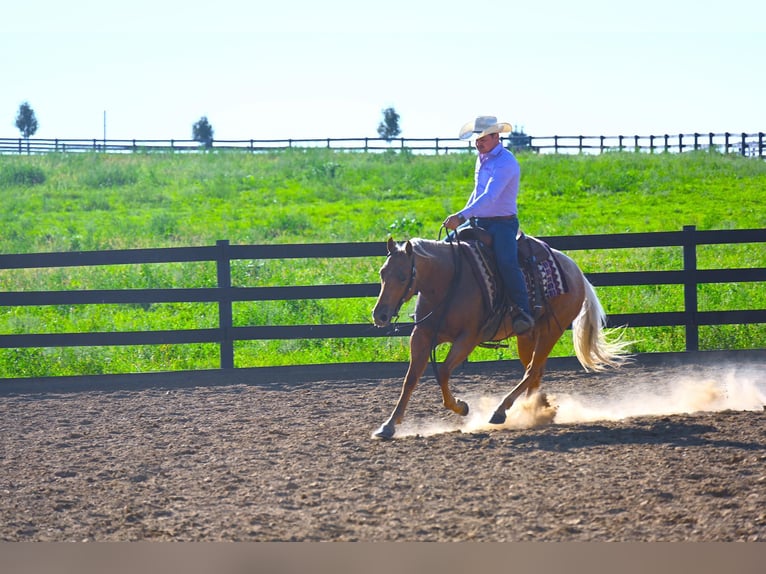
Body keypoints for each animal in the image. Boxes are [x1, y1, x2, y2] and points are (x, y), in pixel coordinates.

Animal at [372, 238, 632, 440]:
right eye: (382, 272)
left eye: (403, 276)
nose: (380, 315)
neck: (448, 282)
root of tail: (576, 271)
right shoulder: (422, 336)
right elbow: (410, 379)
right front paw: (388, 426)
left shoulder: (468, 338)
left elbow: (443, 371)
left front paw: (461, 407)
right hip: (527, 336)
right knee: (535, 371)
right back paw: (534, 410)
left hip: (550, 332)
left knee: (531, 370)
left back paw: (502, 411)